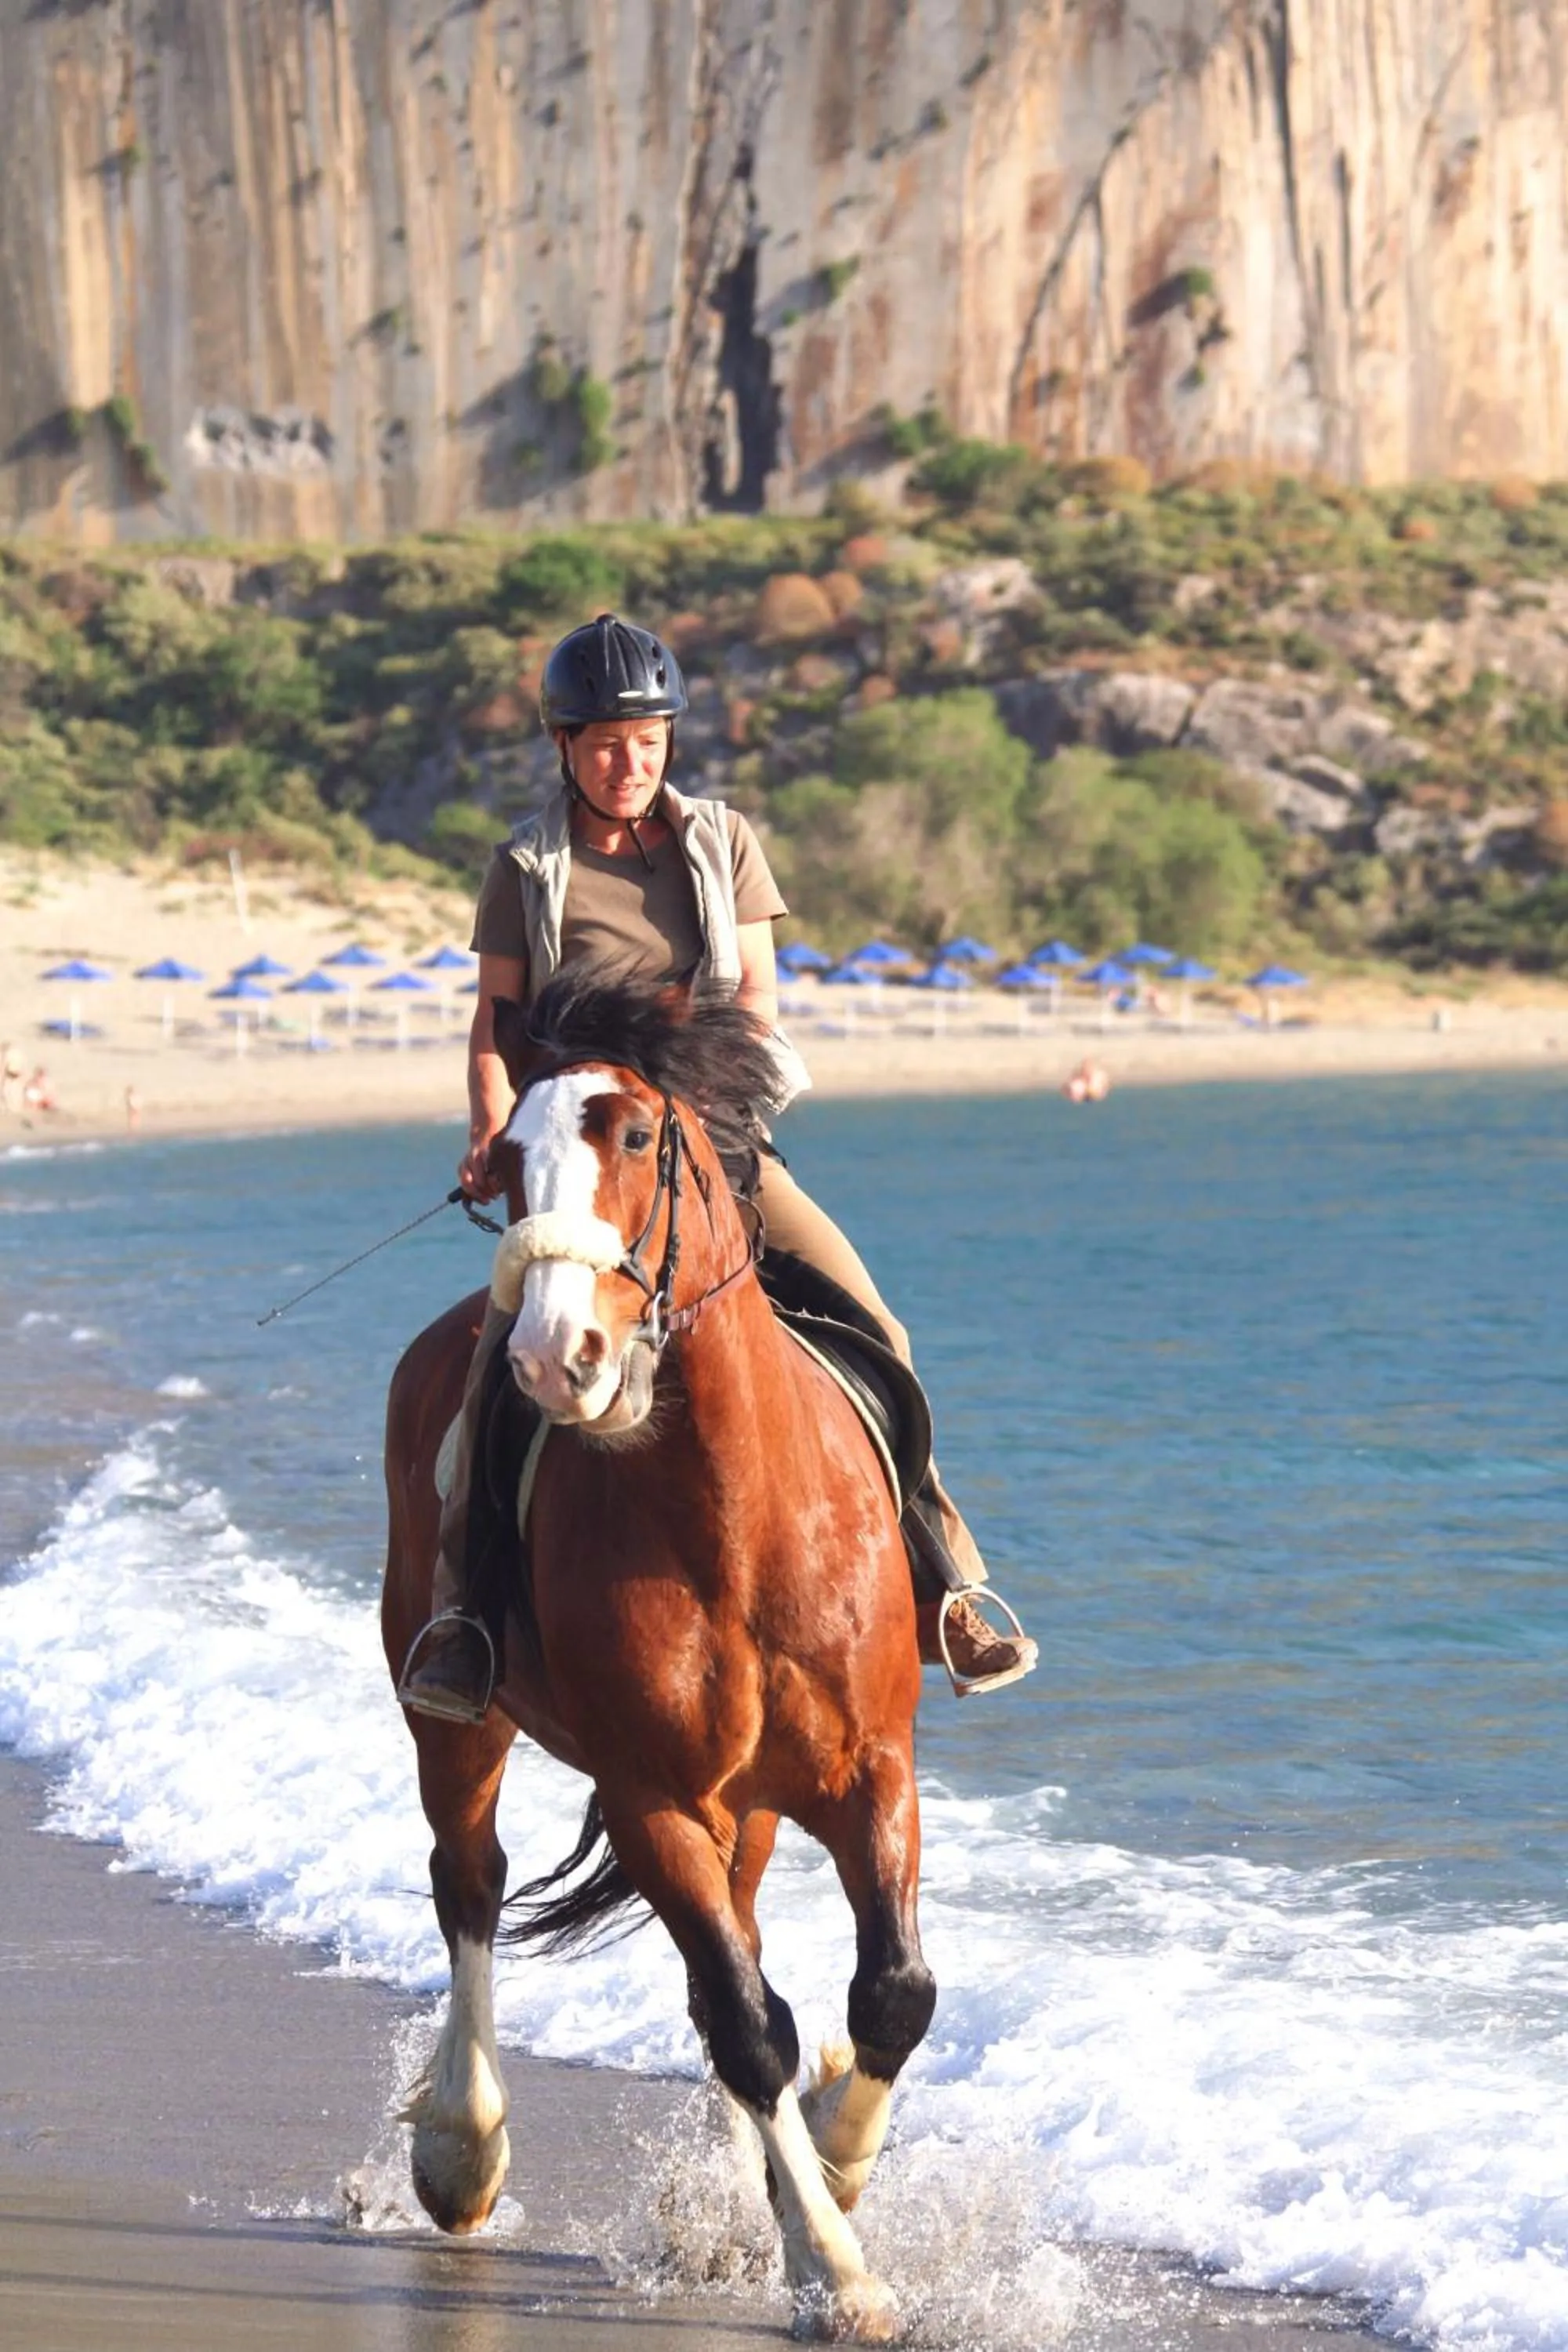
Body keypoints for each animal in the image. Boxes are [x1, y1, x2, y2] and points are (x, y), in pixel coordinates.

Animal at [380, 971, 936, 2343]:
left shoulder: (872, 1770)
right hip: (457, 1720)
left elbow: (889, 1995)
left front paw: (828, 2168)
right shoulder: (651, 1800)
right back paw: (461, 2150)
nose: (553, 1357)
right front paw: (834, 2265)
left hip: (753, 1808)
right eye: (505, 1162)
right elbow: (746, 2024)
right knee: (469, 1882)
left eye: (636, 1137)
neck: (736, 1516)